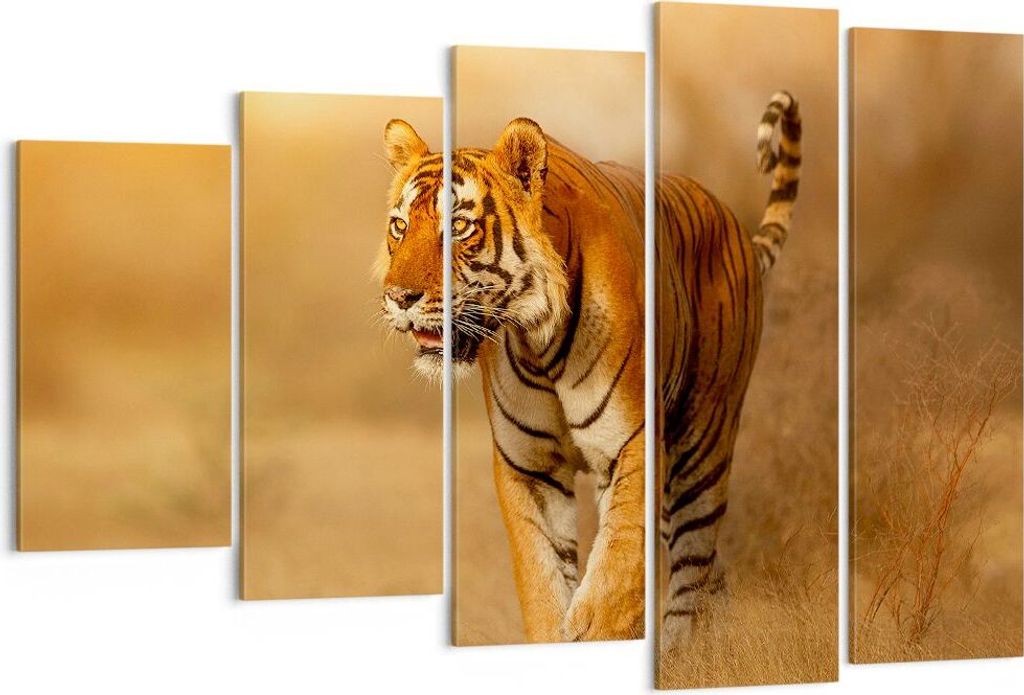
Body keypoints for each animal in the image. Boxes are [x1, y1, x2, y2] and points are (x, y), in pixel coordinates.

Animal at [375, 91, 801, 645]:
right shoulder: (528, 466)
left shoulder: (633, 444)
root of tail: (735, 226)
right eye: (400, 226)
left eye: (461, 227)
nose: (399, 297)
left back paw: (684, 651)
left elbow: (615, 576)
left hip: (701, 445)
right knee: (711, 571)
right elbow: (542, 581)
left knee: (692, 568)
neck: (536, 339)